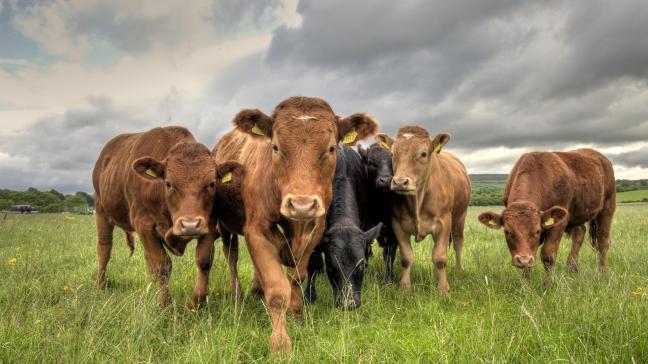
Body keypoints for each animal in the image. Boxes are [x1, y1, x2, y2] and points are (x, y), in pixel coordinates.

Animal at [92, 126, 243, 308]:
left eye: (212, 183)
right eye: (169, 184)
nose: (190, 224)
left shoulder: (209, 224)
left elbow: (204, 260)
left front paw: (196, 303)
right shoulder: (145, 225)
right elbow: (162, 266)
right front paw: (165, 304)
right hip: (101, 211)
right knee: (104, 249)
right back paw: (99, 285)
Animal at [374, 126, 470, 294]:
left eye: (424, 153)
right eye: (392, 154)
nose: (400, 182)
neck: (417, 200)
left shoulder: (444, 223)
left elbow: (440, 257)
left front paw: (443, 289)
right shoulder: (397, 224)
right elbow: (406, 257)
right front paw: (404, 287)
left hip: (460, 216)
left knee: (458, 242)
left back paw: (459, 270)